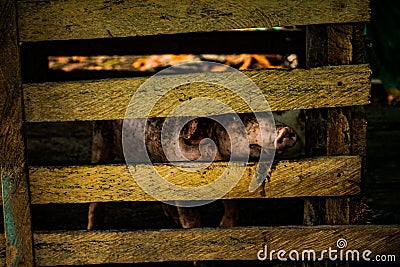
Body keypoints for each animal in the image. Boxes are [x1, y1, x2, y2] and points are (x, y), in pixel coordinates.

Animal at [88, 114, 300, 231]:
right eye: (235, 119)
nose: (286, 131)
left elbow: (233, 210)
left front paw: (223, 229)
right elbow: (192, 221)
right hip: (100, 143)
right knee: (95, 198)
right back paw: (93, 229)